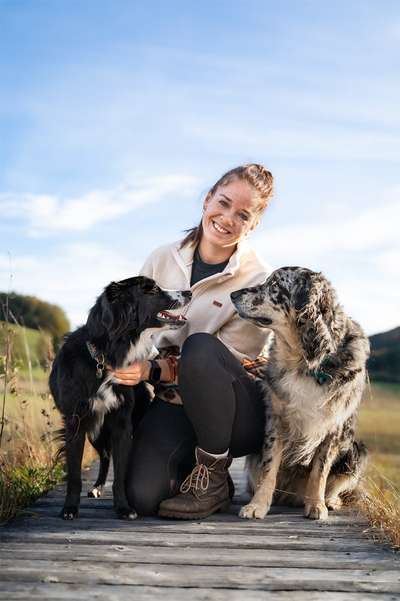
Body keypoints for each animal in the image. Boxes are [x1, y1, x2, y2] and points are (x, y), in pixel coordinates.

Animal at [49, 274, 191, 516]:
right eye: (151, 290)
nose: (189, 292)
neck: (106, 357)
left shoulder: (122, 423)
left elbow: (121, 473)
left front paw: (124, 507)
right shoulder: (75, 422)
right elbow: (75, 474)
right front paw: (69, 508)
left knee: (107, 456)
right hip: (95, 430)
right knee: (105, 456)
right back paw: (96, 487)